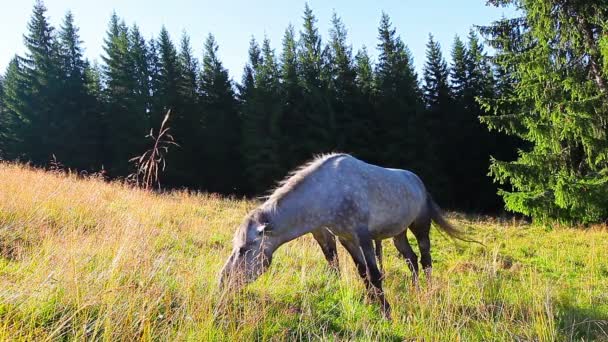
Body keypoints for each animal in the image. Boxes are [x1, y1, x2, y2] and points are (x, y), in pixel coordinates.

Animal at [218, 152, 466, 318]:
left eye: (243, 249)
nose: (223, 280)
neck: (328, 192)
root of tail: (418, 182)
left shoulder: (363, 237)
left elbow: (374, 274)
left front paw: (386, 312)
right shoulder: (346, 238)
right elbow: (362, 272)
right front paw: (370, 302)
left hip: (420, 226)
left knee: (425, 259)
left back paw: (428, 291)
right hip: (399, 234)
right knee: (411, 259)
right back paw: (415, 289)